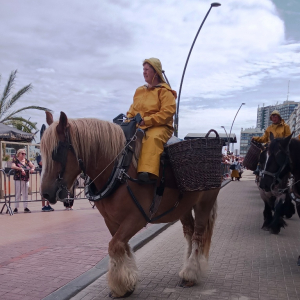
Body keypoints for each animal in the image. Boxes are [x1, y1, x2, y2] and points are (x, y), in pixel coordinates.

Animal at [40, 112, 220, 298]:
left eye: (57, 151)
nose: (45, 194)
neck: (119, 168)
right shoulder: (111, 221)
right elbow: (122, 246)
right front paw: (127, 283)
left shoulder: (137, 218)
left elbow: (114, 246)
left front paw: (120, 284)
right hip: (183, 208)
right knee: (189, 233)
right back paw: (187, 268)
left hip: (204, 203)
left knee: (198, 236)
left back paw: (191, 273)